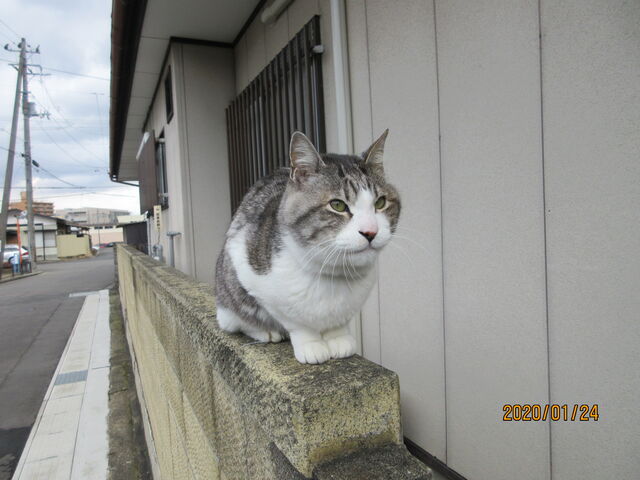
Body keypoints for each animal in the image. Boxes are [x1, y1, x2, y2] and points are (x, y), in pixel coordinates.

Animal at [214, 130, 400, 364]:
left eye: (380, 202)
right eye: (338, 205)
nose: (370, 232)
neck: (334, 273)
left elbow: (338, 322)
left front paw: (338, 338)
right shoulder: (249, 269)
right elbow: (294, 321)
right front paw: (311, 344)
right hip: (228, 292)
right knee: (237, 319)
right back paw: (266, 332)